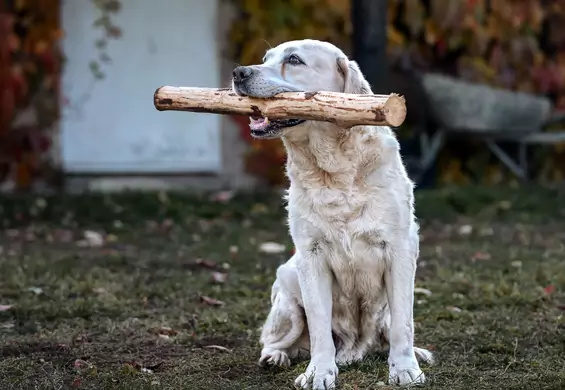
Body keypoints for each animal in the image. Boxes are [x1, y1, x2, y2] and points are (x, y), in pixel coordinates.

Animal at [230, 38, 432, 388]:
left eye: (293, 60)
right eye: (265, 59)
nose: (239, 73)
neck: (334, 170)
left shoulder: (400, 249)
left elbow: (403, 324)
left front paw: (406, 368)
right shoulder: (311, 256)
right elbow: (320, 326)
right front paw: (319, 373)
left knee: (386, 332)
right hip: (287, 288)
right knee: (277, 338)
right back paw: (276, 357)